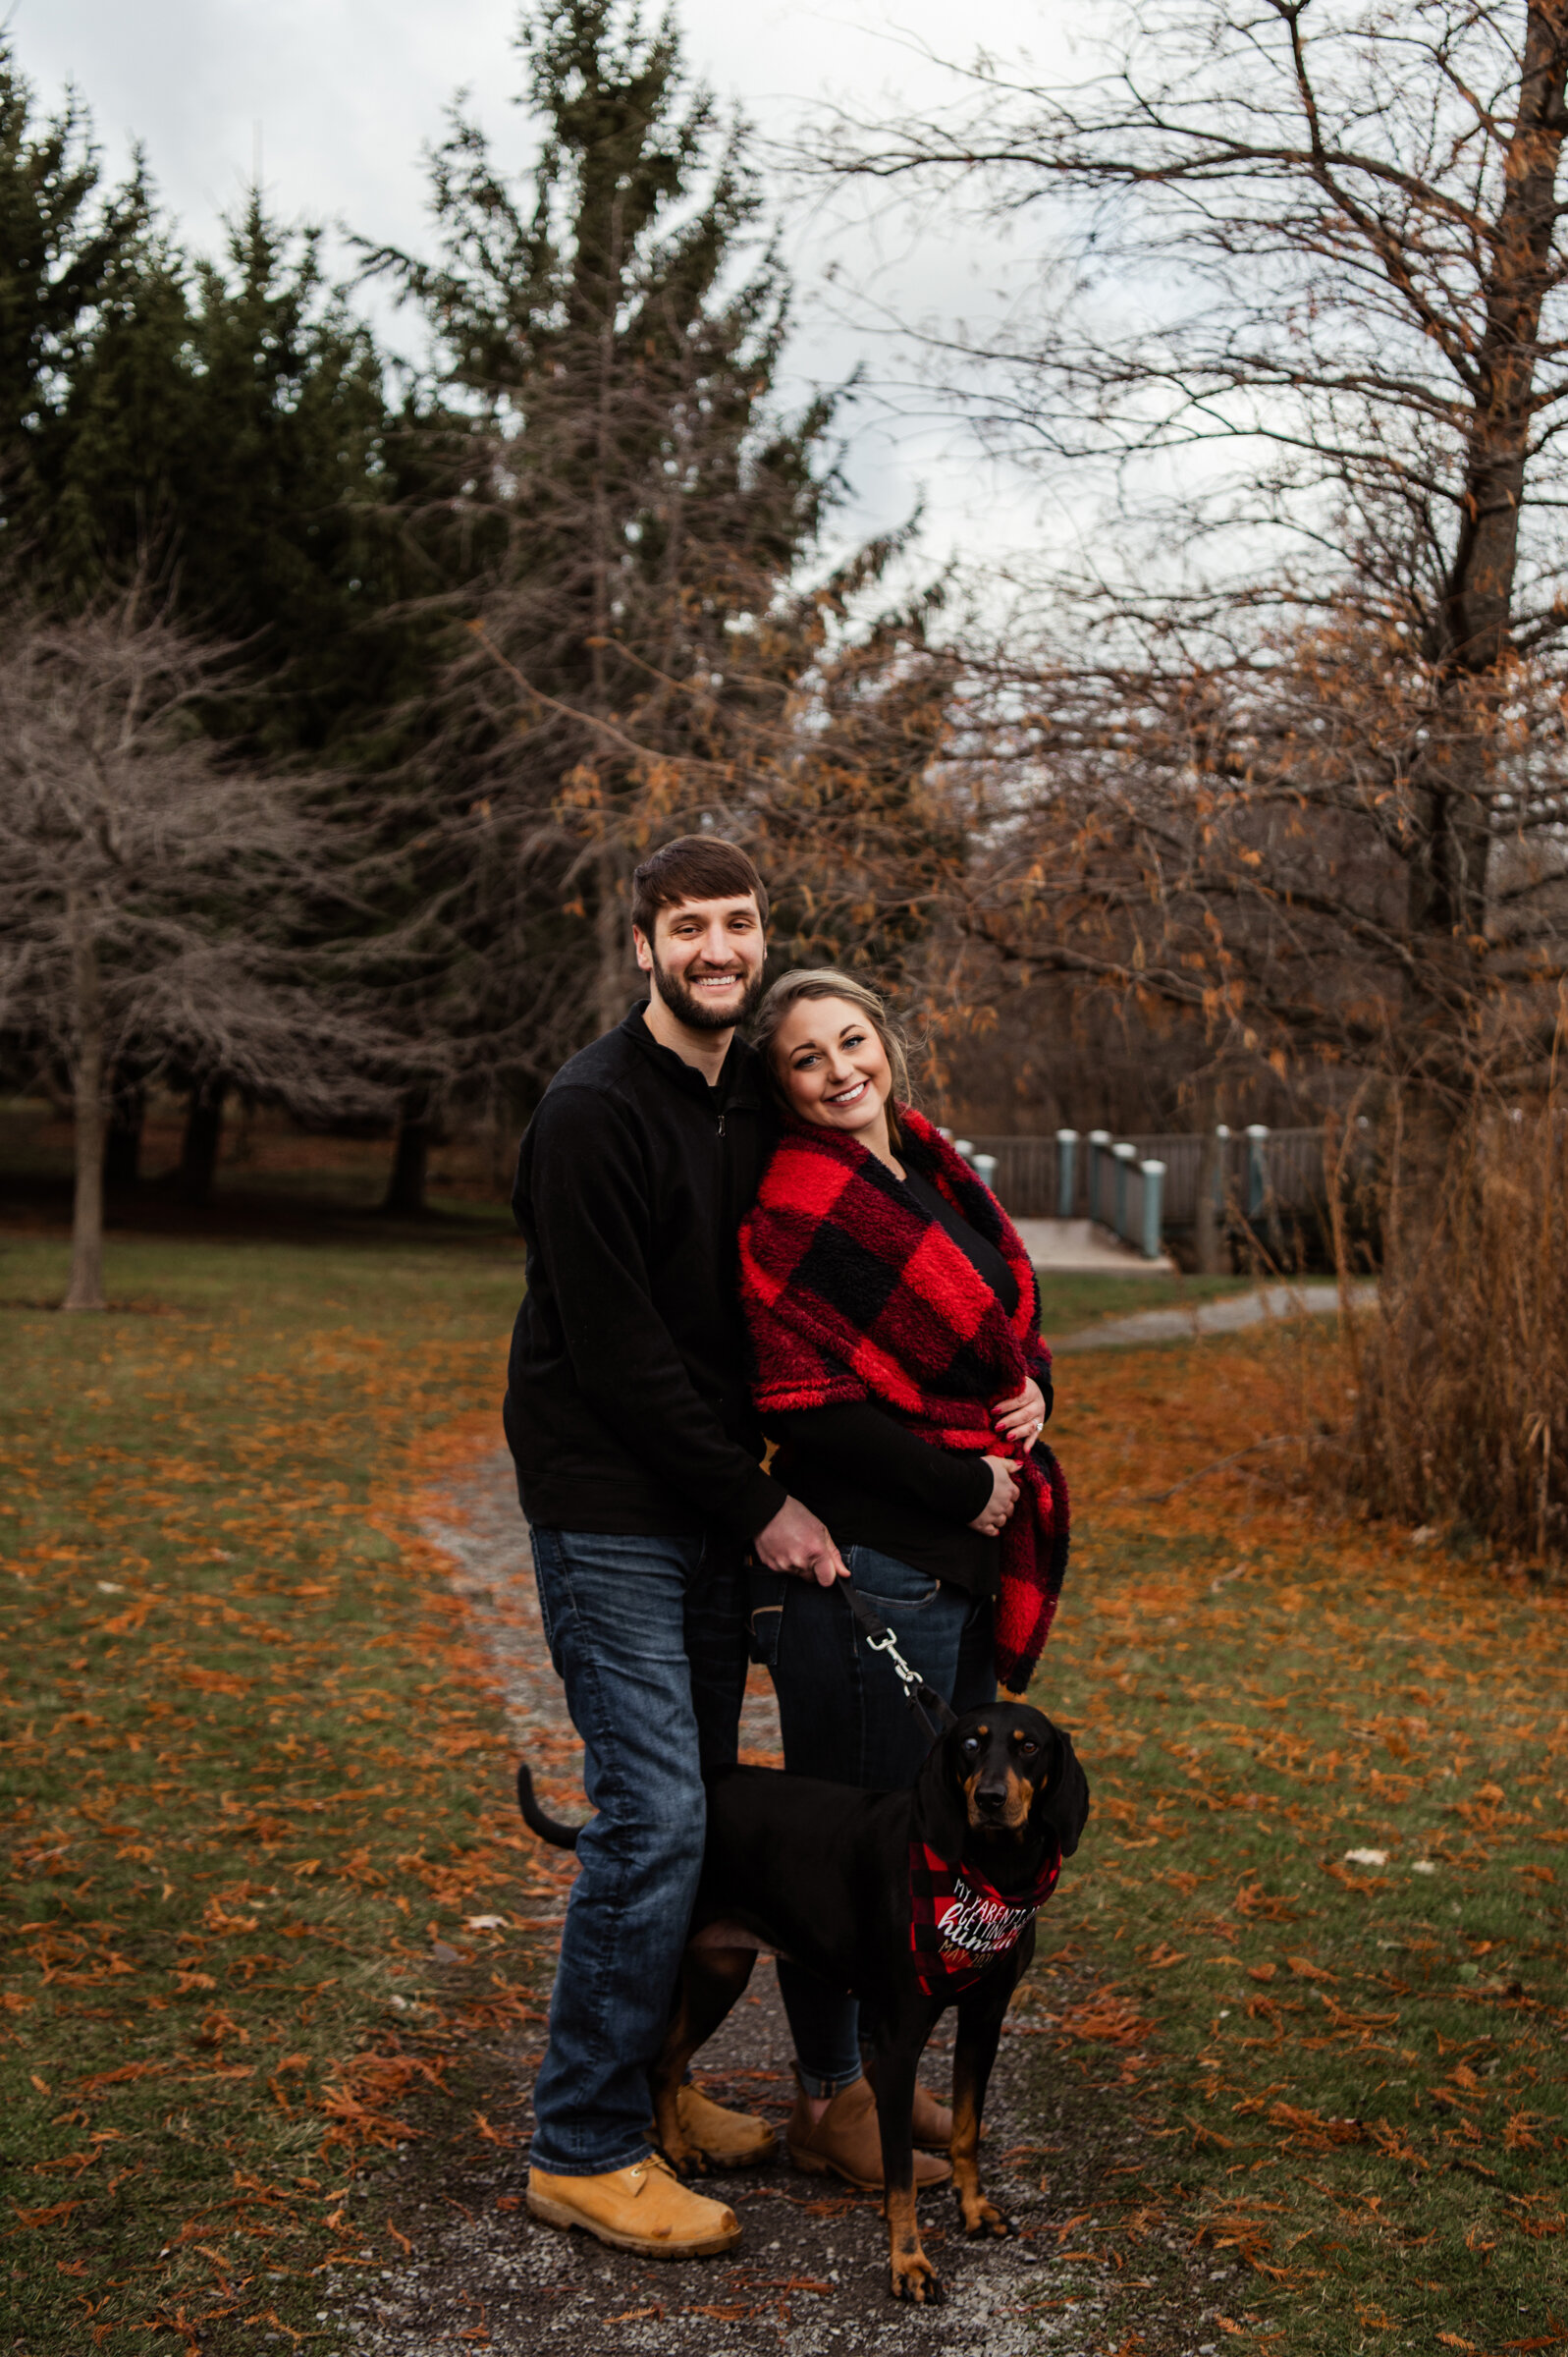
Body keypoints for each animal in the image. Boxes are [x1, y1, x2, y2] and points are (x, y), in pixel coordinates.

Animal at [518, 1706, 1084, 2310]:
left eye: (1029, 1748)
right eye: (970, 1745)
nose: (992, 1799)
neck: (990, 1876)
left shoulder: (984, 2021)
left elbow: (966, 2132)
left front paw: (973, 2210)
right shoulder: (899, 2041)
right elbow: (901, 2176)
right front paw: (908, 2263)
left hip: (720, 1974)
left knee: (664, 2065)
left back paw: (680, 2151)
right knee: (647, 2055)